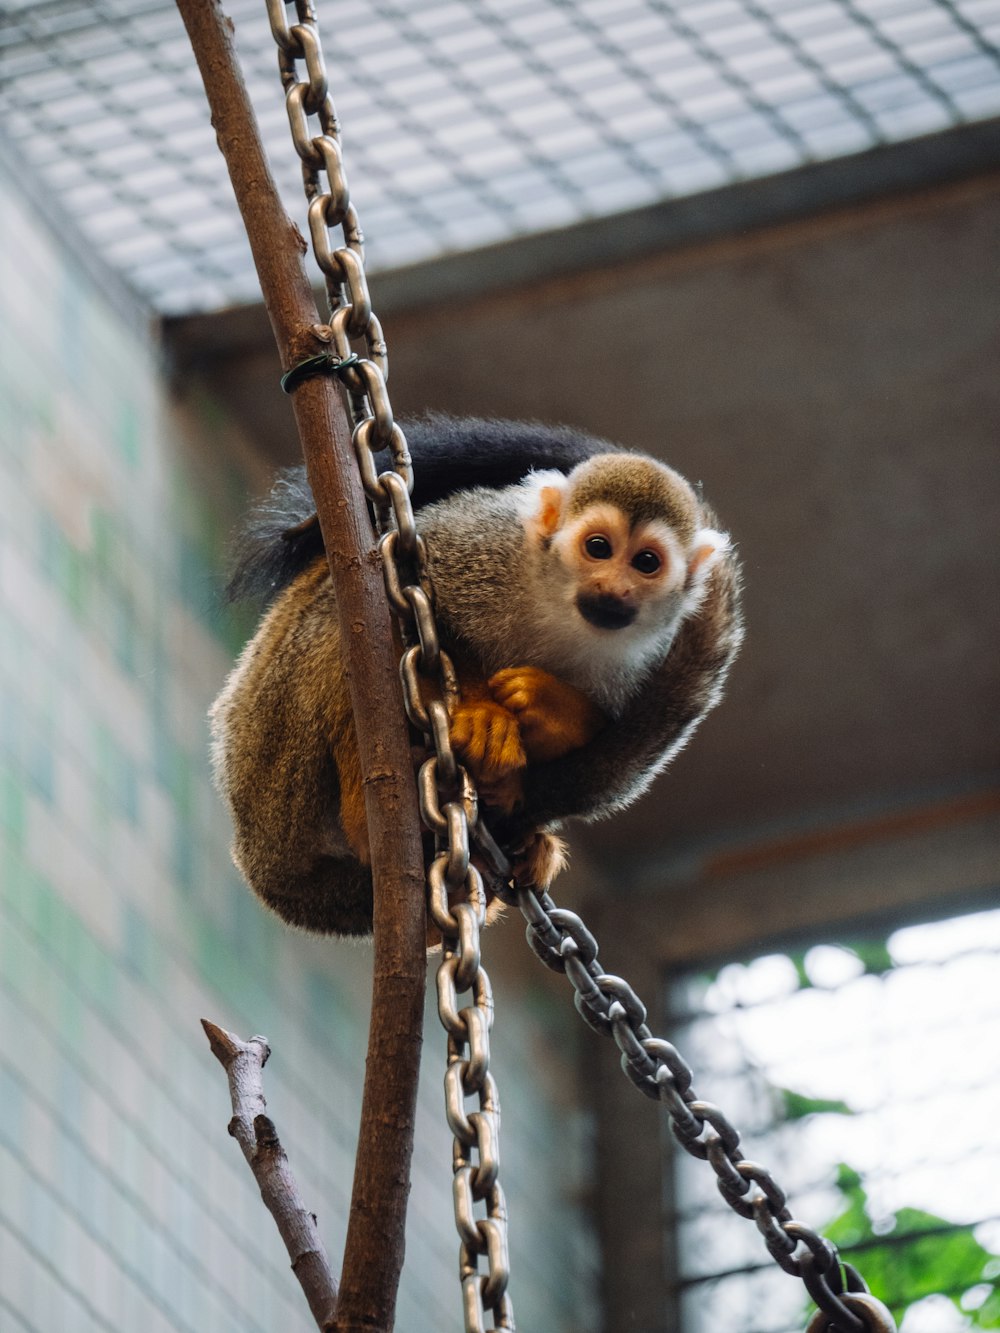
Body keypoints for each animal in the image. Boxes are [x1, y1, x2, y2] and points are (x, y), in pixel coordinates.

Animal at [209, 415, 746, 938]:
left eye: (646, 562)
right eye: (598, 548)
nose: (613, 589)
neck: (559, 606)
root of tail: (268, 869)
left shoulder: (644, 656)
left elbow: (616, 743)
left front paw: (553, 714)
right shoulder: (486, 543)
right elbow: (410, 594)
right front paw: (484, 720)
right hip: (279, 764)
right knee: (350, 619)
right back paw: (372, 813)